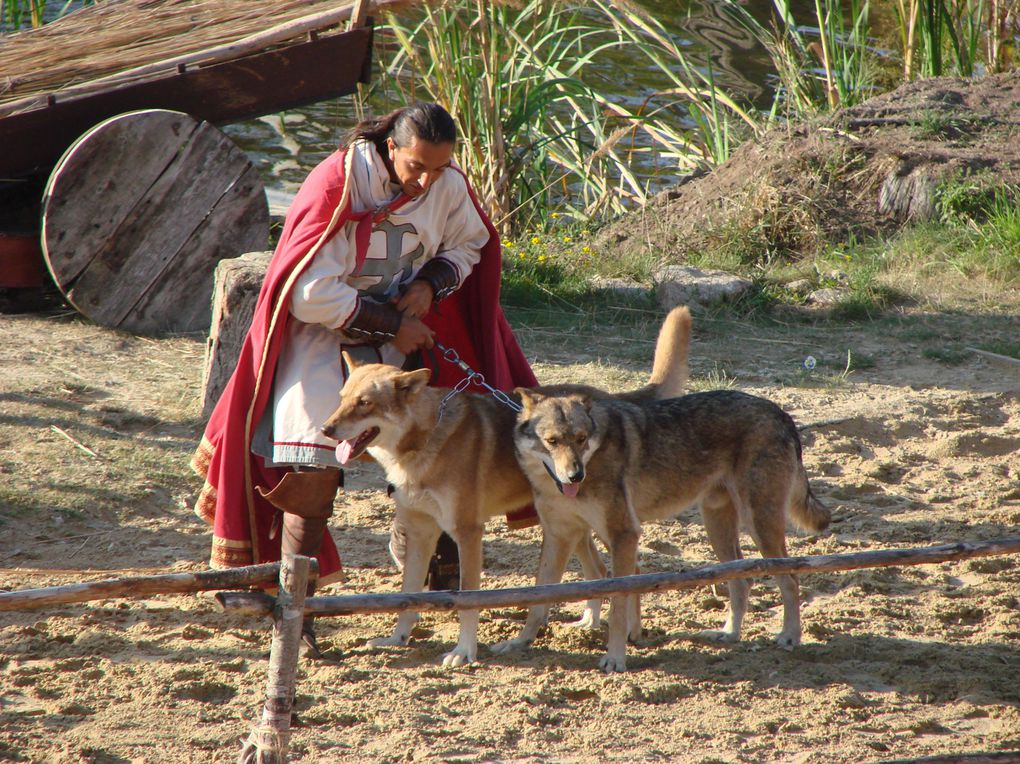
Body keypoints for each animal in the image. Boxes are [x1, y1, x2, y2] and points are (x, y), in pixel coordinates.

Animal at [322, 306, 689, 665]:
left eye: (365, 403)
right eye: (341, 398)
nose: (326, 429)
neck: (425, 440)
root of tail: (609, 398)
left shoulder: (468, 532)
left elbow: (467, 600)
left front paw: (464, 652)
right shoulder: (420, 531)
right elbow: (407, 596)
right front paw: (398, 639)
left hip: (592, 524)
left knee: (627, 572)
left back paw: (626, 630)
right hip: (573, 526)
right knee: (600, 572)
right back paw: (590, 621)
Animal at [501, 383, 828, 669]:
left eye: (581, 439)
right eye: (553, 441)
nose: (575, 476)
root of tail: (781, 412)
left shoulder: (624, 535)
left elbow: (617, 608)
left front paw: (615, 659)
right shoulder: (560, 536)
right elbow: (537, 599)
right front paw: (520, 642)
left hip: (759, 525)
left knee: (791, 580)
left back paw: (789, 636)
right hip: (718, 529)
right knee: (742, 581)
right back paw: (729, 634)